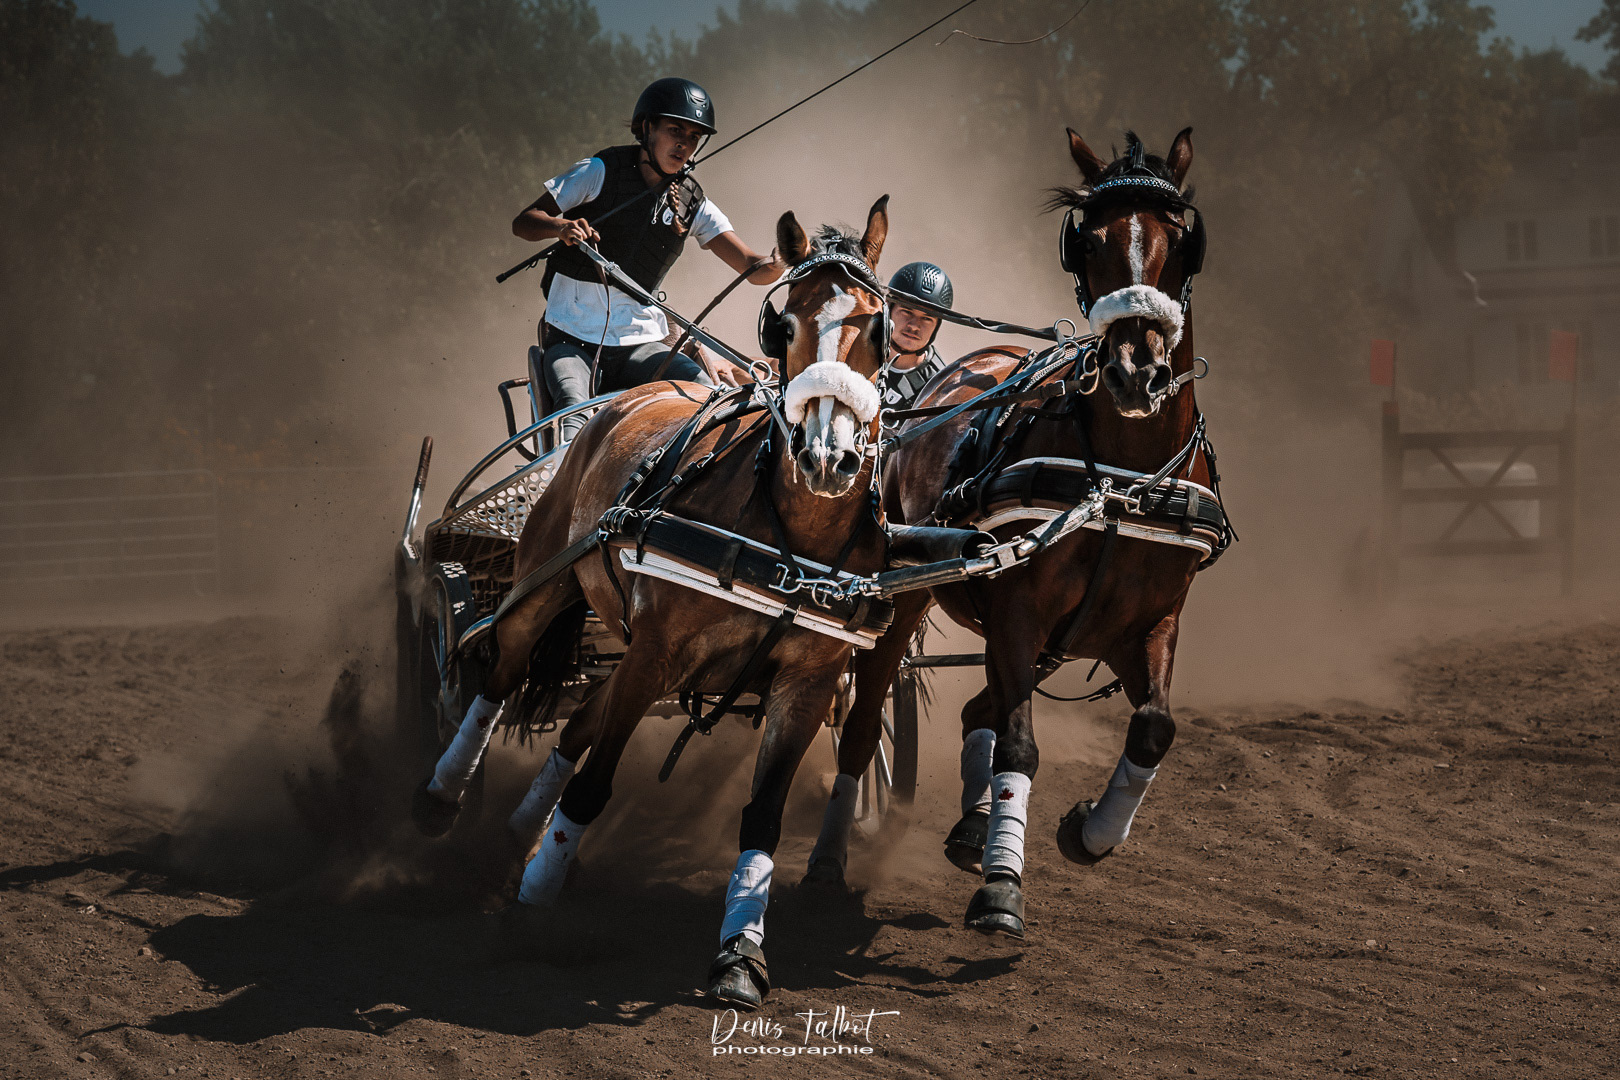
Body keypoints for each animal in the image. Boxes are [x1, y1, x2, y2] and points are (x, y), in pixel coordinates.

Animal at [412, 198, 896, 1011]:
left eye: (878, 326)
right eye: (784, 324)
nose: (827, 456)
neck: (786, 538)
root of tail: (631, 396)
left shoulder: (808, 682)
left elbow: (762, 818)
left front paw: (739, 955)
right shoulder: (658, 651)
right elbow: (593, 785)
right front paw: (531, 912)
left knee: (577, 719)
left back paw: (519, 832)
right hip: (548, 582)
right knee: (501, 675)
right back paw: (446, 796)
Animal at [804, 128, 1229, 939]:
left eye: (1182, 241)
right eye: (1087, 241)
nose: (1137, 374)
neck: (1119, 479)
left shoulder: (1153, 619)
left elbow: (1154, 728)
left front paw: (1089, 832)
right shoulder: (1020, 606)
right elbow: (1022, 744)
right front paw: (1004, 883)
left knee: (984, 709)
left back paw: (974, 827)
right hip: (909, 602)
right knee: (868, 723)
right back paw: (832, 853)